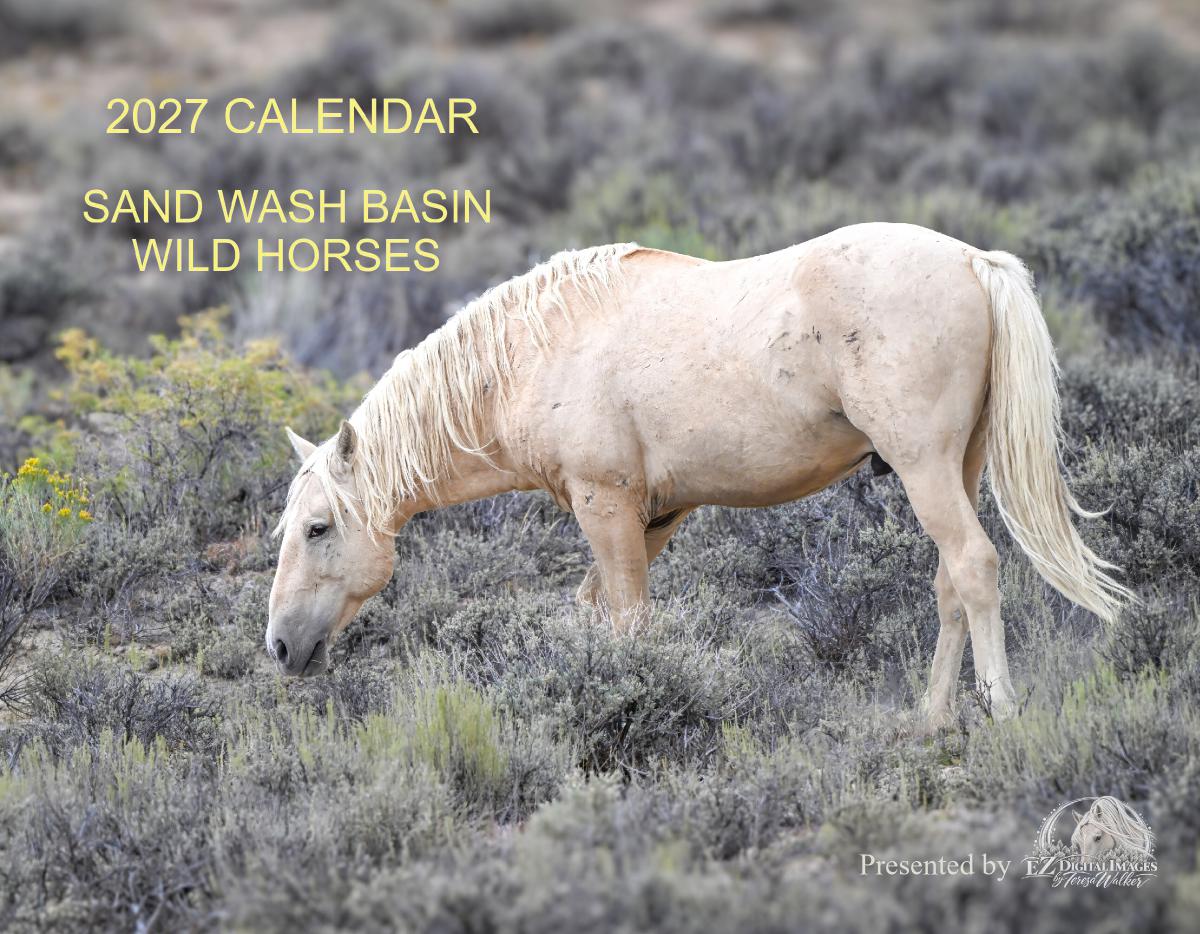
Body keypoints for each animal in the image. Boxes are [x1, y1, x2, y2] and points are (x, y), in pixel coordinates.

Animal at [267, 222, 1131, 725]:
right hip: (958, 466)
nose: (278, 647)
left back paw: (1001, 711)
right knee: (950, 581)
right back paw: (931, 718)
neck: (535, 350)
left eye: (318, 528)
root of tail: (975, 261)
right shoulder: (655, 517)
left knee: (976, 568)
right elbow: (595, 613)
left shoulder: (607, 506)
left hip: (924, 466)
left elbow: (627, 621)